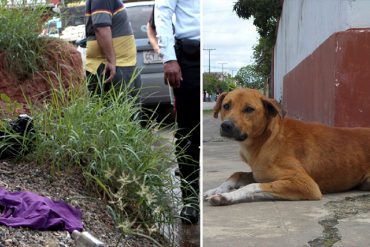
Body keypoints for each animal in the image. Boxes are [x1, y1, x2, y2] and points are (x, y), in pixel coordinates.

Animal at [204, 88, 370, 206]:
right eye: (226, 106)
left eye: (249, 109)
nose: (226, 126)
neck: (267, 139)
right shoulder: (260, 174)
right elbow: (236, 174)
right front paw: (216, 189)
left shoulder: (306, 184)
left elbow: (252, 186)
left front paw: (226, 196)